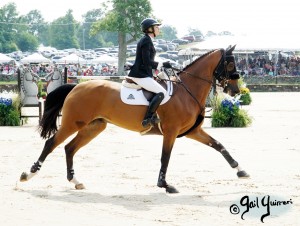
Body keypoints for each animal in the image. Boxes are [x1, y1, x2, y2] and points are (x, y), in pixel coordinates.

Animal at [20, 45, 248, 193]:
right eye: (230, 65)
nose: (236, 91)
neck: (187, 90)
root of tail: (76, 87)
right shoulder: (171, 131)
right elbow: (165, 157)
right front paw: (165, 185)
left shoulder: (193, 131)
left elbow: (219, 145)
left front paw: (241, 170)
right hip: (72, 123)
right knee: (51, 144)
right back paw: (28, 174)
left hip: (93, 127)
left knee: (69, 148)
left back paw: (75, 181)